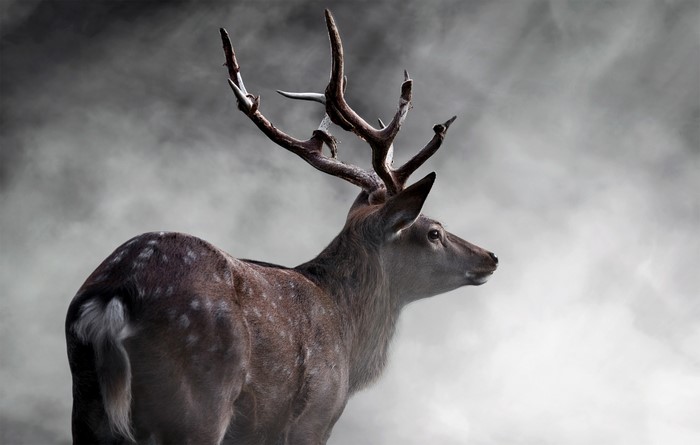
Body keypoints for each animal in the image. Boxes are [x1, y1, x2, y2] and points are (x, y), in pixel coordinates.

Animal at [65, 9, 498, 445]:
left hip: (87, 407)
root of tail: (115, 293)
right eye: (434, 232)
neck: (348, 336)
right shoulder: (315, 415)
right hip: (195, 400)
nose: (490, 256)